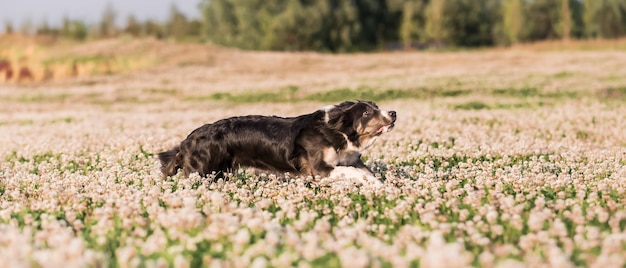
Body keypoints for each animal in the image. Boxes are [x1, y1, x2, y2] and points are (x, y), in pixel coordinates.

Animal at [158, 101, 398, 179]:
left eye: (376, 106)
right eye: (366, 112)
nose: (394, 113)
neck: (338, 132)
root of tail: (187, 141)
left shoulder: (352, 160)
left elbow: (368, 173)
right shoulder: (320, 169)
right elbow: (354, 172)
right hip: (202, 172)